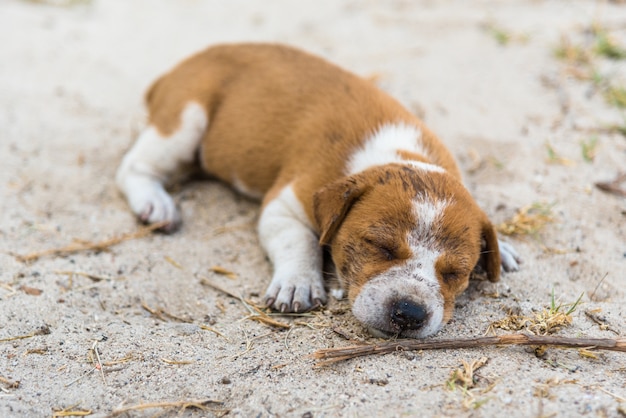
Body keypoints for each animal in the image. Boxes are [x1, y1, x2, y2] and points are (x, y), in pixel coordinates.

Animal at [116, 42, 516, 338]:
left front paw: (504, 247)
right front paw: (298, 283)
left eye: (455, 273)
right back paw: (155, 202)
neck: (398, 152)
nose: (409, 312)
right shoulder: (286, 204)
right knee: (133, 166)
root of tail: (176, 70)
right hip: (186, 118)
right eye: (381, 247)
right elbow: (300, 241)